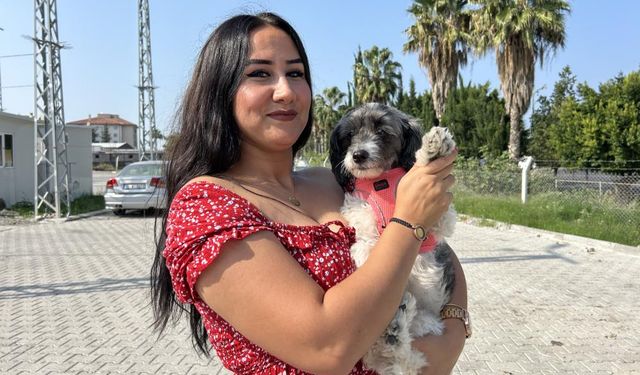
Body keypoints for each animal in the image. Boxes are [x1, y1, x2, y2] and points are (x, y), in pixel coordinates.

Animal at [328, 101, 458, 374]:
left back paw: (396, 329)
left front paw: (434, 150)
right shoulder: (358, 206)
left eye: (382, 132)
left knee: (407, 354)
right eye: (349, 135)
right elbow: (367, 231)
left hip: (427, 321)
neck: (380, 181)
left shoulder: (443, 219)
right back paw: (394, 331)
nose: (358, 155)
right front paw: (367, 251)